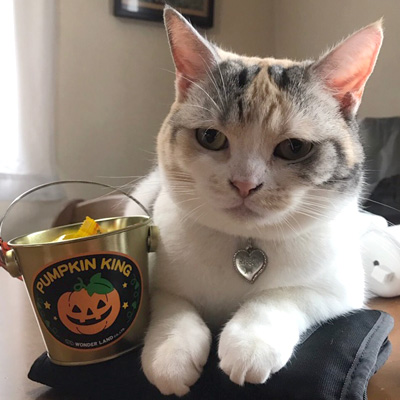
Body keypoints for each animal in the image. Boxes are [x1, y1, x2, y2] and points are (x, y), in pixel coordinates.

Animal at [125, 5, 383, 396]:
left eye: (294, 147)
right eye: (210, 137)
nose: (244, 184)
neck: (244, 243)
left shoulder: (341, 288)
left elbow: (280, 296)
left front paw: (248, 344)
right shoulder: (157, 277)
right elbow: (172, 306)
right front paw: (170, 355)